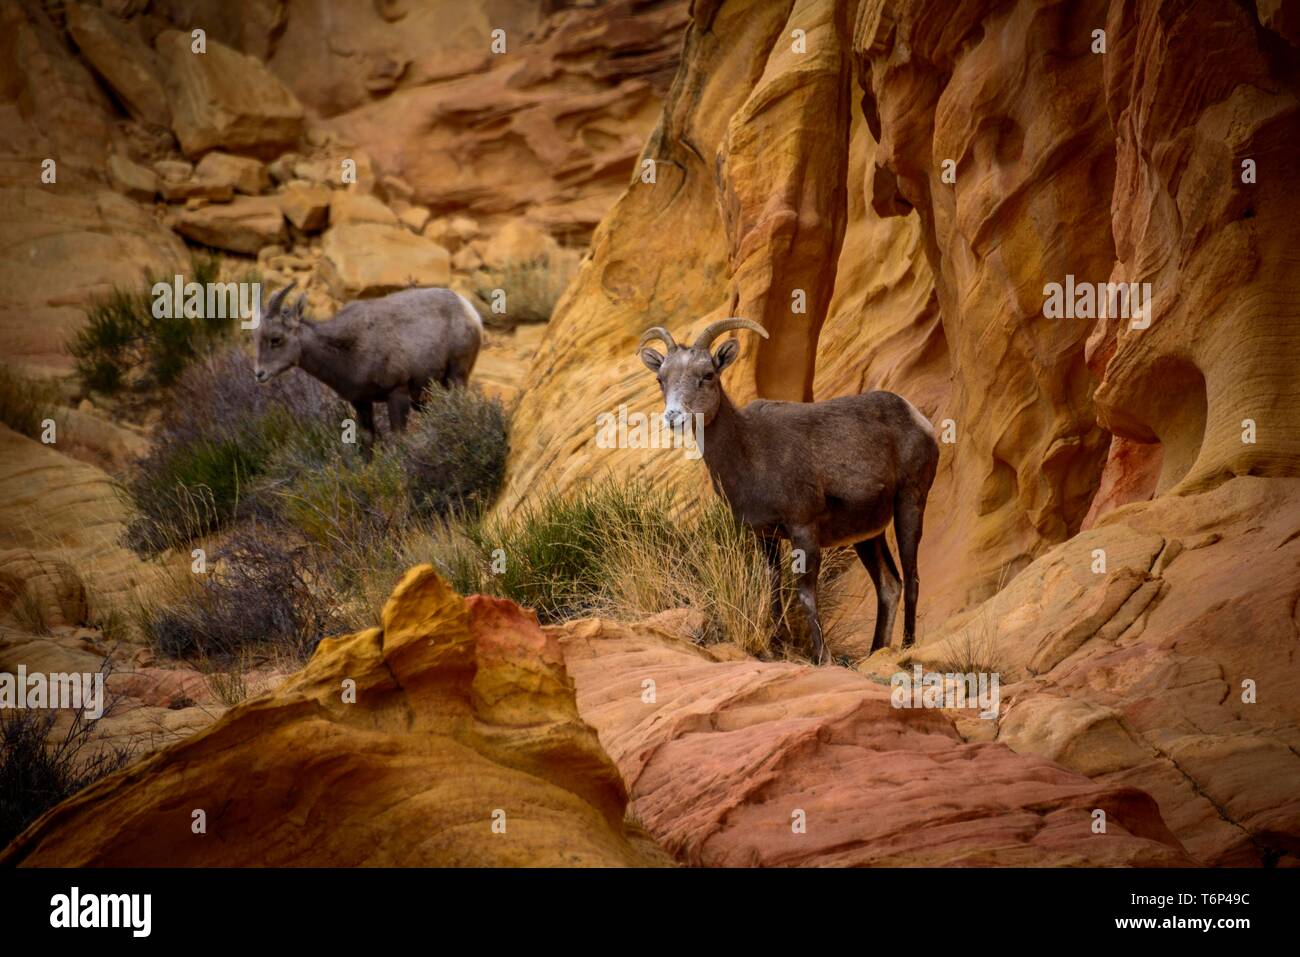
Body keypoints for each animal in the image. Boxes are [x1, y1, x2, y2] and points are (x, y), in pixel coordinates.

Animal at [637, 317, 935, 660]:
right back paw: (875, 652)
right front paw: (779, 647)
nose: (674, 417)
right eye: (661, 379)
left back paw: (907, 647)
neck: (750, 452)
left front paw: (823, 658)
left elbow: (805, 594)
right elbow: (774, 588)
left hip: (909, 503)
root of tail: (917, 418)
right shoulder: (764, 536)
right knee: (889, 585)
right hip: (867, 534)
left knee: (911, 578)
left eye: (707, 375)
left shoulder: (802, 528)